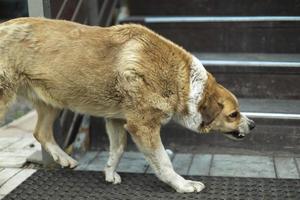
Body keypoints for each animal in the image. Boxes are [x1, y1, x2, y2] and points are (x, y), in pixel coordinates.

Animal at [0, 18, 254, 193]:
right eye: (233, 114)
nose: (252, 125)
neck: (181, 81)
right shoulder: (143, 127)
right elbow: (163, 161)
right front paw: (182, 185)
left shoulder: (117, 120)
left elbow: (118, 149)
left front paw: (110, 173)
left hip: (53, 101)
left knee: (40, 132)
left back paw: (65, 158)